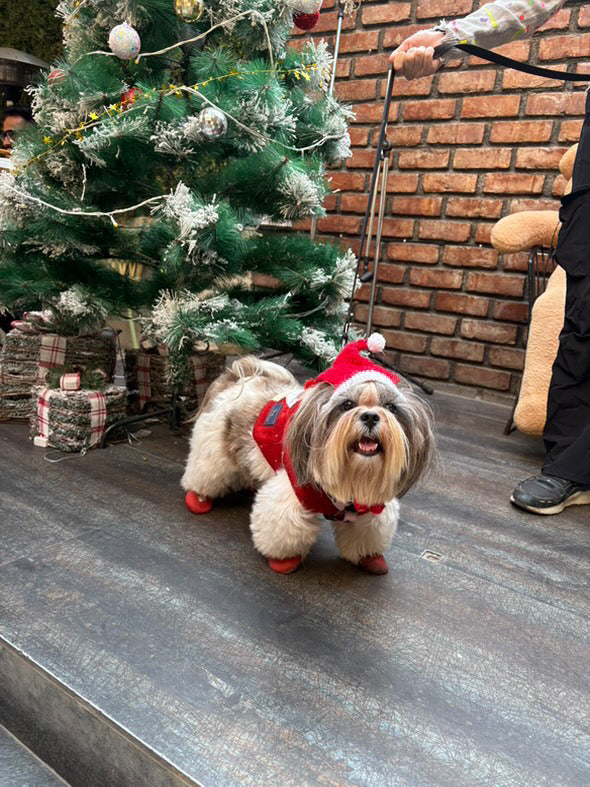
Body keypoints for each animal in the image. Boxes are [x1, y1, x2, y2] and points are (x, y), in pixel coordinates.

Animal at [183, 332, 438, 572]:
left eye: (390, 408)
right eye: (347, 405)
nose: (370, 416)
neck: (351, 476)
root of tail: (242, 376)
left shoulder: (370, 505)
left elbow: (367, 531)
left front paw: (369, 558)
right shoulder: (294, 490)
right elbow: (285, 523)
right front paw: (284, 561)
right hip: (214, 446)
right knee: (206, 472)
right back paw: (198, 498)